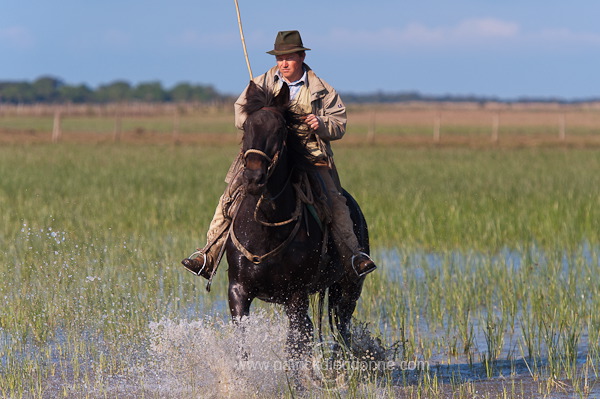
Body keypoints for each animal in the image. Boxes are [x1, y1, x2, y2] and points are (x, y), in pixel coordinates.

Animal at [226, 80, 370, 360]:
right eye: (246, 127)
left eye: (280, 129)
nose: (253, 178)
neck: (267, 226)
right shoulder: (238, 290)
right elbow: (242, 346)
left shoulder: (295, 294)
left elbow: (295, 346)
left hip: (348, 288)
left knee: (341, 331)